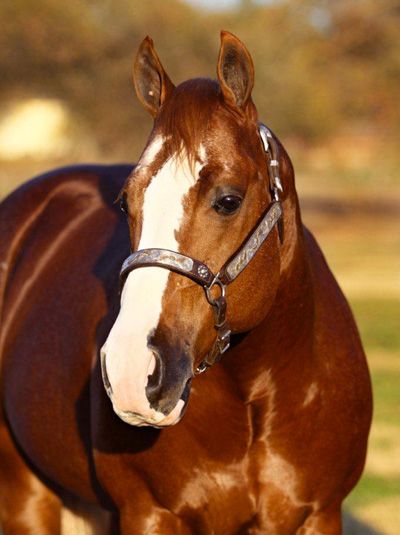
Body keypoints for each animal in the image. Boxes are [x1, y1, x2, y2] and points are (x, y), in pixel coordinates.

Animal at [0, 31, 372, 534]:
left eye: (229, 200)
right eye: (125, 201)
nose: (131, 370)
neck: (258, 393)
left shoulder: (318, 514)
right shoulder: (151, 513)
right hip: (24, 493)